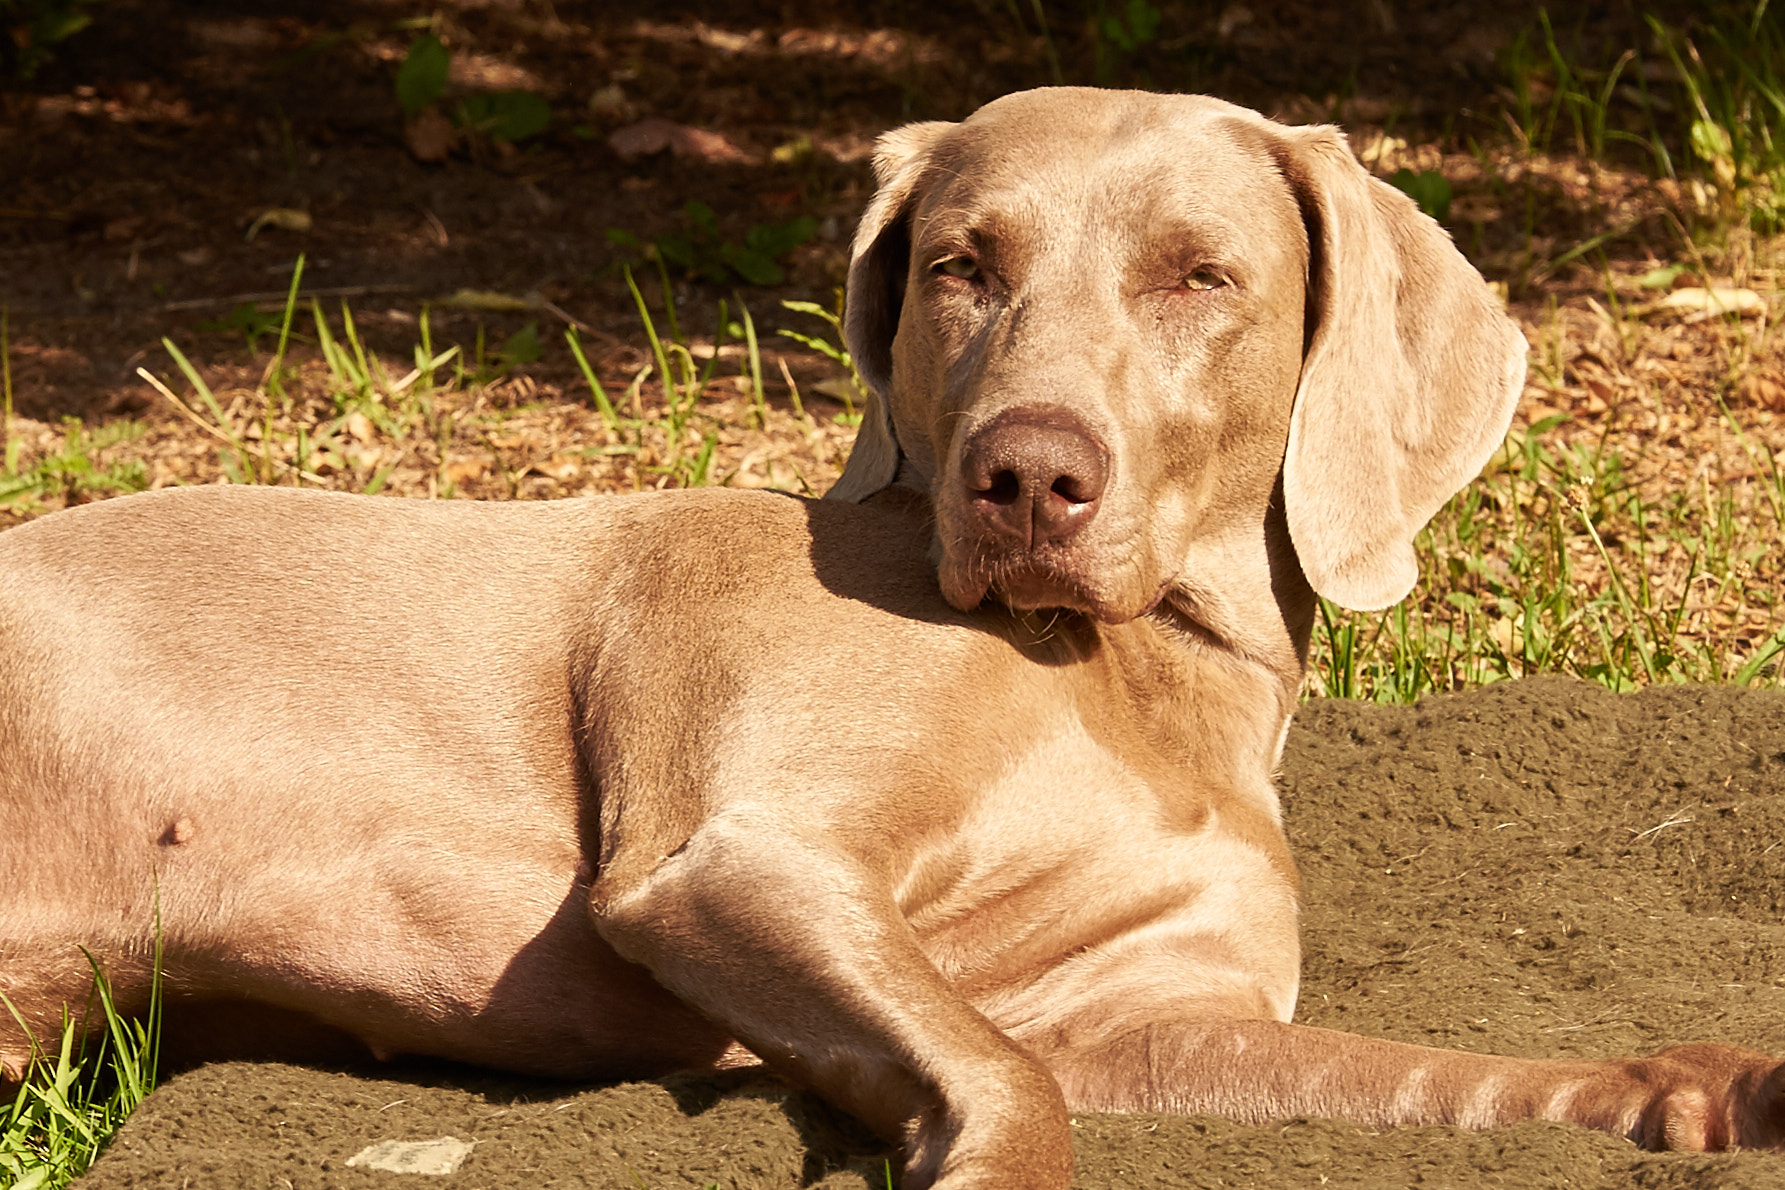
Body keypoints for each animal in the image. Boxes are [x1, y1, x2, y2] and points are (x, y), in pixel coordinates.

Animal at [3, 88, 1785, 1184]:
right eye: (959, 266)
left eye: (1199, 275)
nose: (1028, 476)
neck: (1143, 681)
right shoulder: (730, 857)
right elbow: (1007, 1078)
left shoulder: (1147, 1020)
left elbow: (1426, 1068)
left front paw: (1696, 1089)